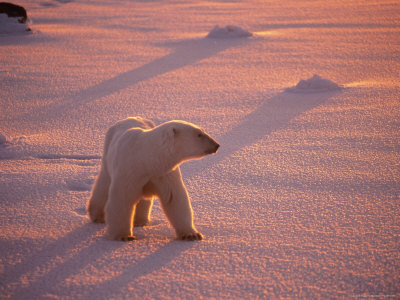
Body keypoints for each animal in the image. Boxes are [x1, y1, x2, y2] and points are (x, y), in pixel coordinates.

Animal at [86, 117, 219, 241]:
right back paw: (97, 215)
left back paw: (140, 220)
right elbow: (122, 199)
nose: (216, 145)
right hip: (107, 154)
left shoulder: (163, 173)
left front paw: (192, 234)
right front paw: (124, 236)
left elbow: (175, 198)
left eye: (202, 131)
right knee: (104, 185)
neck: (147, 160)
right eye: (199, 134)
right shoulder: (129, 170)